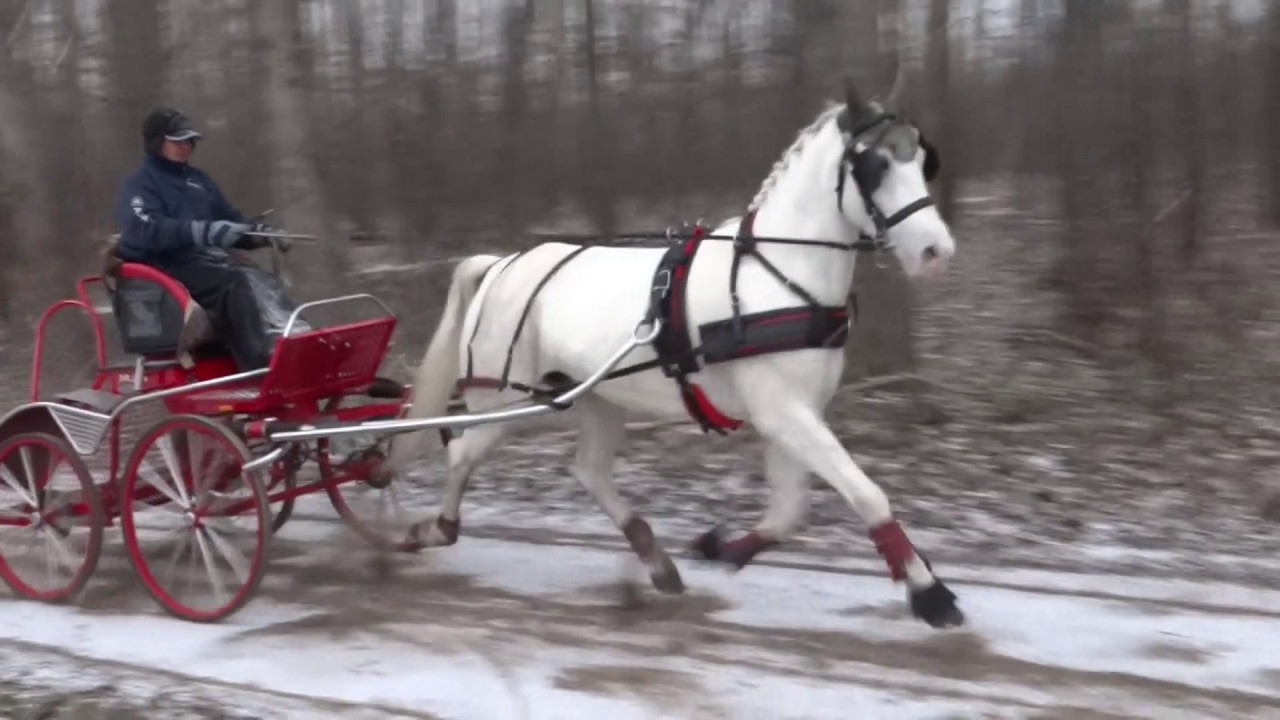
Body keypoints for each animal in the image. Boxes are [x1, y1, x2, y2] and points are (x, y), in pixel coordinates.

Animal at [374, 78, 965, 629]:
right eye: (875, 166)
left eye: (922, 158)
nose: (937, 252)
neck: (778, 275)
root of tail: (500, 265)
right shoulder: (783, 412)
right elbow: (866, 495)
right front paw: (930, 593)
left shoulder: (793, 414)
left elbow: (790, 509)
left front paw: (720, 547)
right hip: (503, 403)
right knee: (460, 454)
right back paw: (430, 531)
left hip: (598, 399)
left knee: (588, 470)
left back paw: (653, 557)